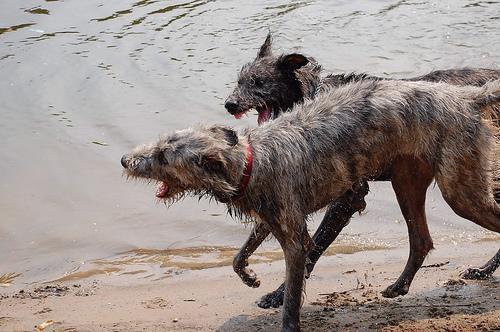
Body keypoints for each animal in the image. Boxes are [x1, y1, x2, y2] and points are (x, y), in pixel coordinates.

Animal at [122, 79, 500, 330]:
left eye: (162, 156)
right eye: (159, 145)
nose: (126, 160)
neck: (251, 160)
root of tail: (468, 97)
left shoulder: (294, 237)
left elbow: (293, 290)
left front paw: (286, 319)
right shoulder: (270, 216)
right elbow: (239, 255)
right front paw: (249, 275)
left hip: (460, 192)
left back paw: (483, 270)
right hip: (406, 182)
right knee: (421, 239)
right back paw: (401, 285)